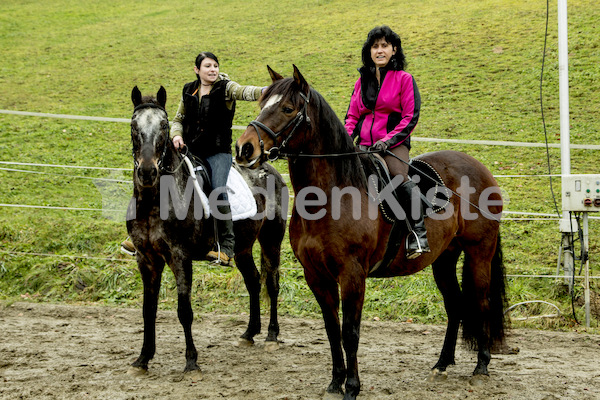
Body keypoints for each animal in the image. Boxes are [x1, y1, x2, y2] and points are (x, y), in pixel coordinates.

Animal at [125, 86, 288, 376]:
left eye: (164, 125)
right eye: (134, 125)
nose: (147, 172)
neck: (156, 200)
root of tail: (270, 170)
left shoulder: (180, 257)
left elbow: (184, 311)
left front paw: (191, 361)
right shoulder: (146, 259)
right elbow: (147, 309)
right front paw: (142, 359)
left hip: (272, 240)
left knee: (271, 283)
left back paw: (271, 335)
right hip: (243, 248)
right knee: (253, 281)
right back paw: (249, 333)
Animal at [234, 67, 506, 398]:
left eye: (287, 108)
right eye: (261, 104)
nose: (245, 148)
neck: (334, 195)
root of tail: (479, 168)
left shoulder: (352, 274)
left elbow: (350, 332)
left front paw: (352, 386)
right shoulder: (316, 275)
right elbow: (332, 329)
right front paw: (336, 381)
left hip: (480, 252)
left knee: (481, 303)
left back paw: (481, 366)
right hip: (444, 258)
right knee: (455, 305)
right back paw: (441, 364)